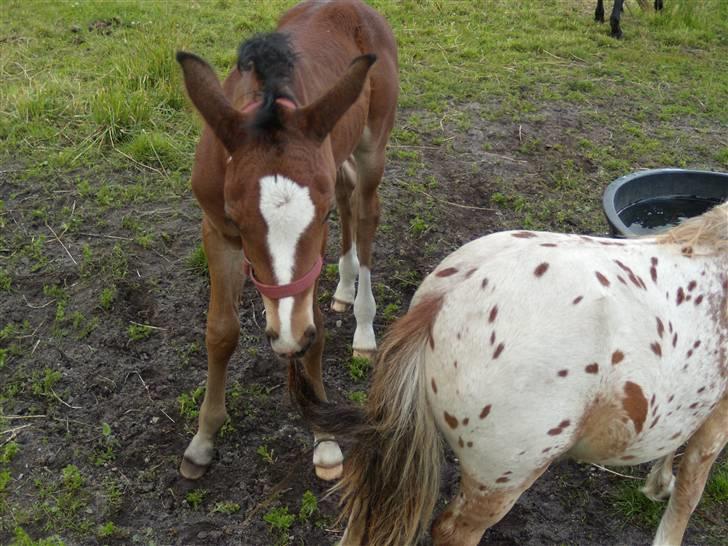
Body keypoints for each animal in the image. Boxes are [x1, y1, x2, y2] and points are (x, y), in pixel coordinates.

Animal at [176, 2, 398, 482]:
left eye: (318, 216)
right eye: (238, 218)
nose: (287, 336)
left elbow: (315, 328)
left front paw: (326, 439)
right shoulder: (216, 230)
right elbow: (220, 331)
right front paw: (203, 439)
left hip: (373, 145)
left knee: (365, 211)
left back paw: (364, 325)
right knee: (347, 193)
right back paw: (342, 291)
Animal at [292, 202, 728, 540]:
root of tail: (442, 302)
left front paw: (660, 481)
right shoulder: (715, 426)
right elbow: (688, 498)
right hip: (500, 482)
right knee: (452, 531)